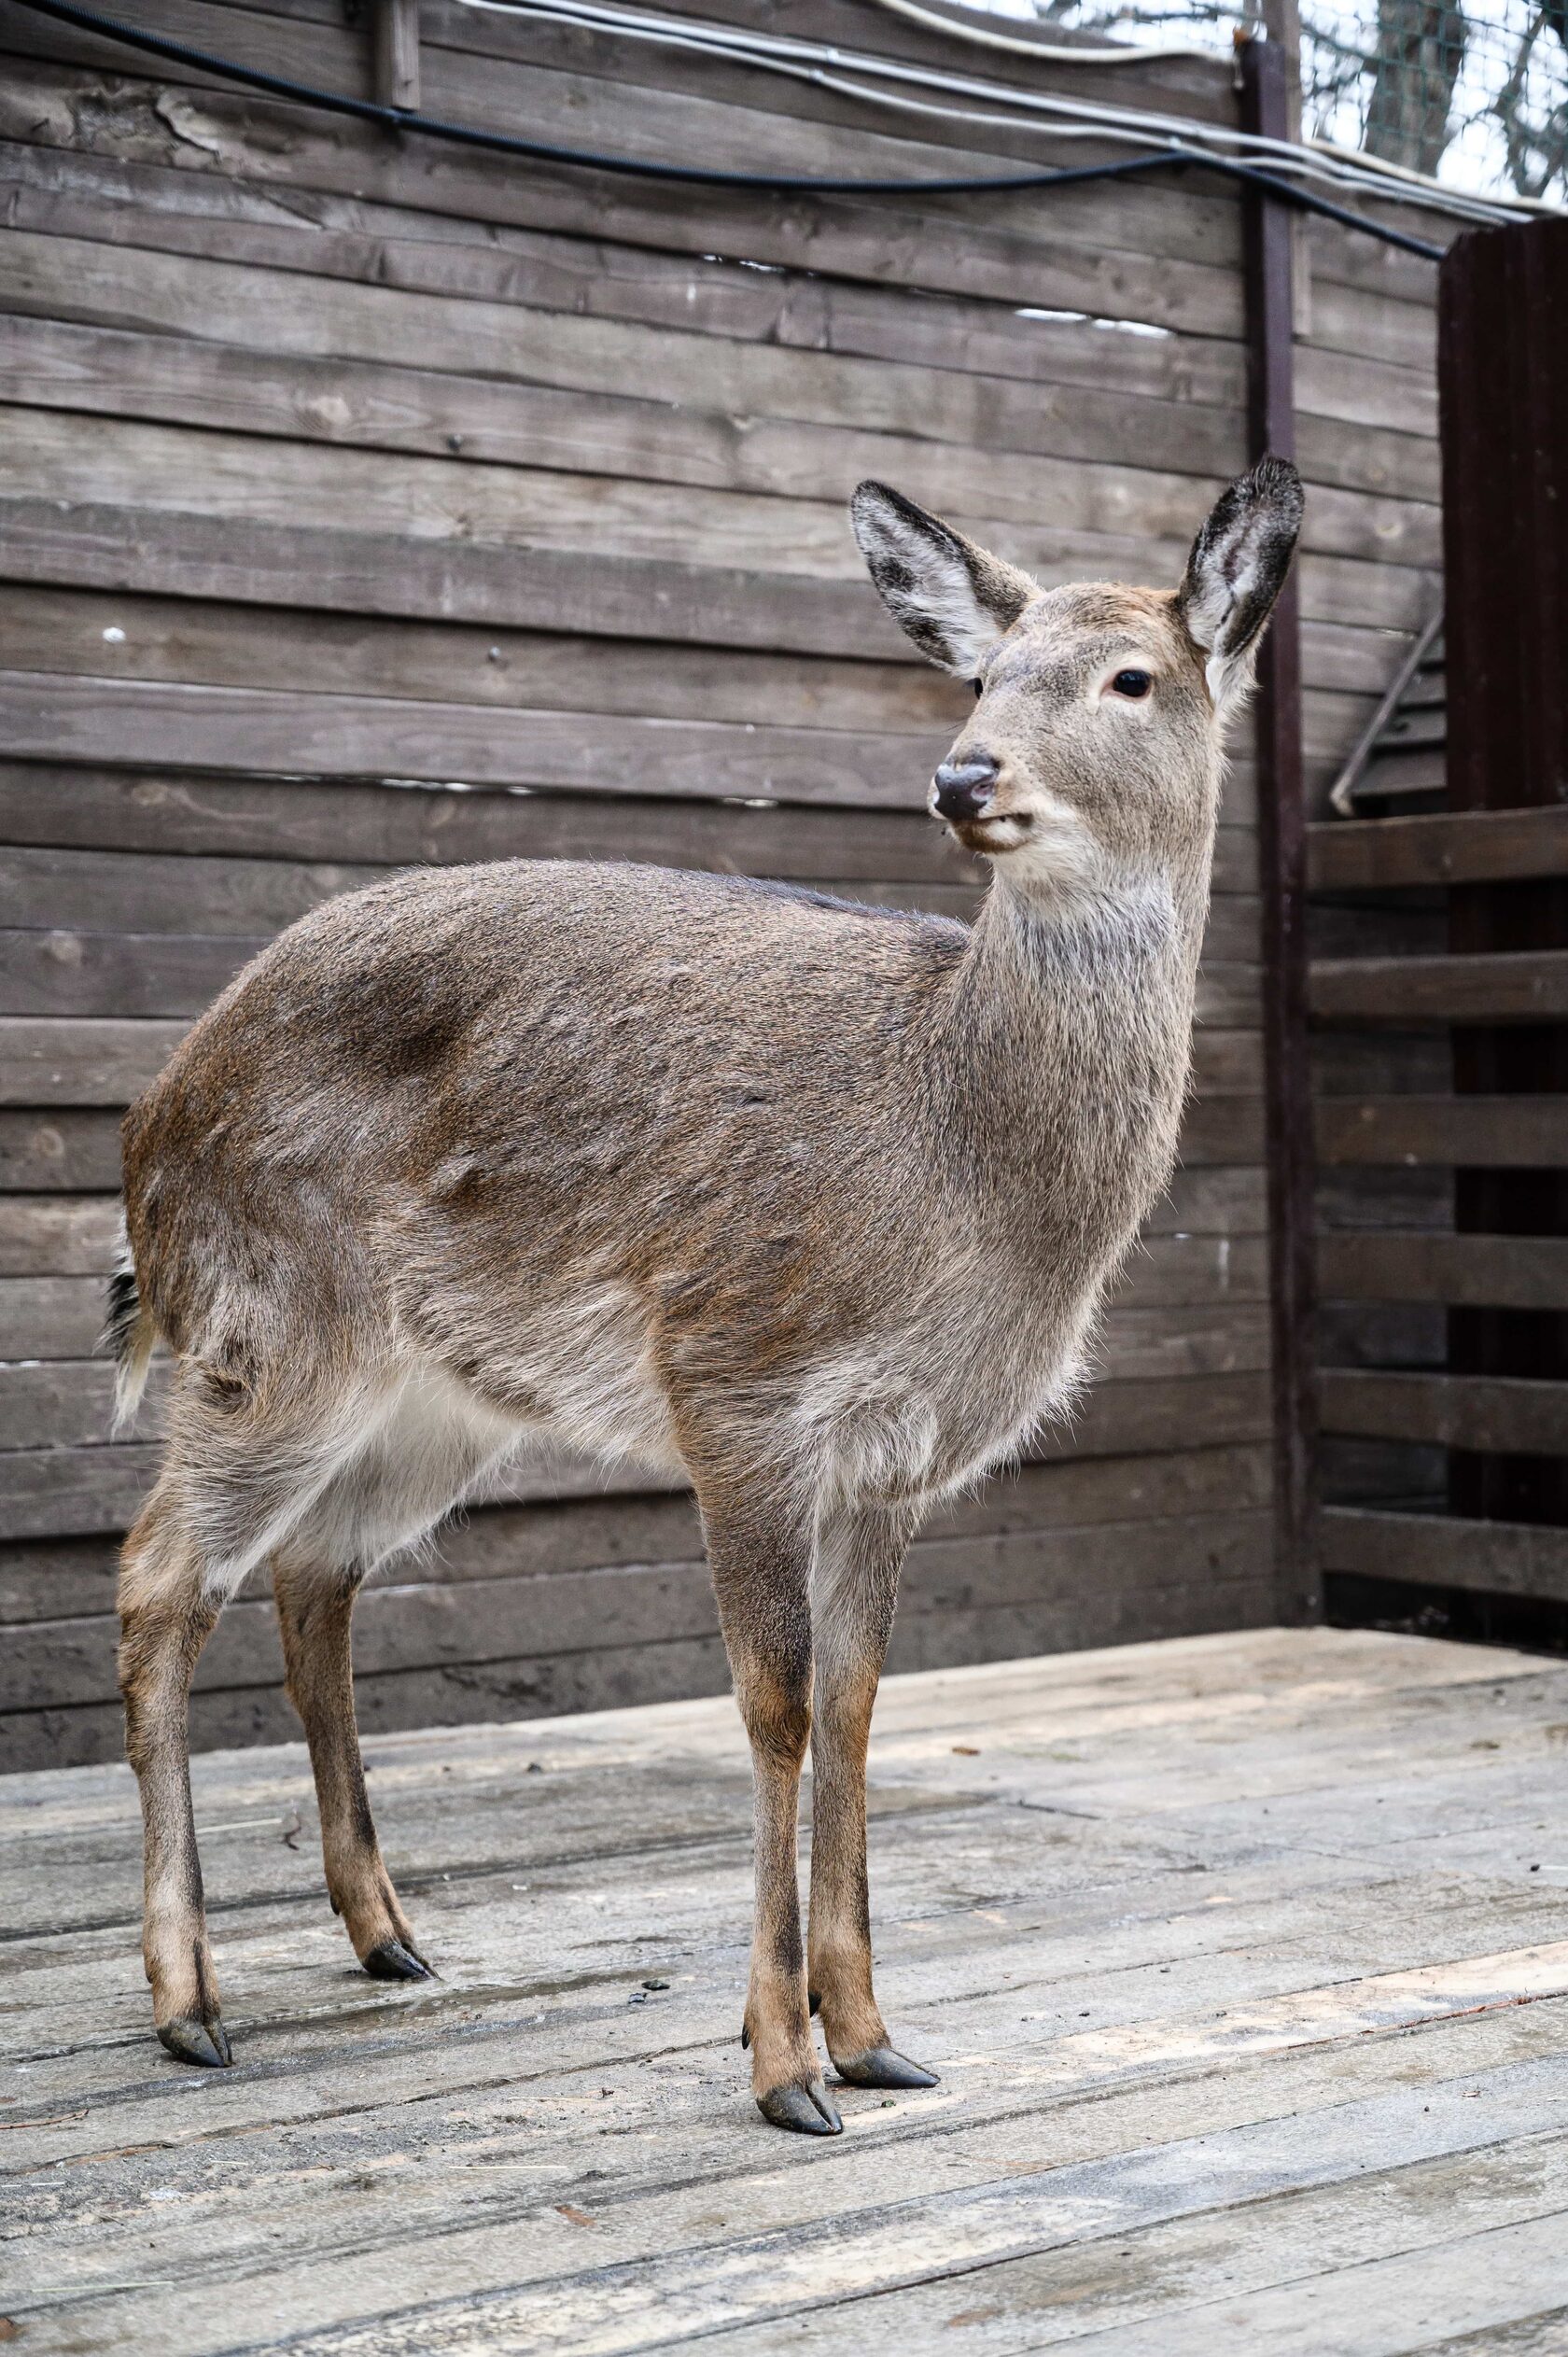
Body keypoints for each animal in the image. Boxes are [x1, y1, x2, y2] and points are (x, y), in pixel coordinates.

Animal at [113, 455, 1292, 2140]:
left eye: (1134, 677)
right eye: (982, 672)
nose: (964, 776)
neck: (958, 1174)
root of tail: (146, 1133)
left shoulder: (891, 1460)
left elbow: (859, 1703)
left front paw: (875, 2034)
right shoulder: (736, 1374)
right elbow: (774, 1704)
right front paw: (785, 2066)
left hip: (435, 1398)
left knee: (311, 1575)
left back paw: (387, 1933)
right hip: (267, 1323)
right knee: (158, 1578)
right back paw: (191, 2003)